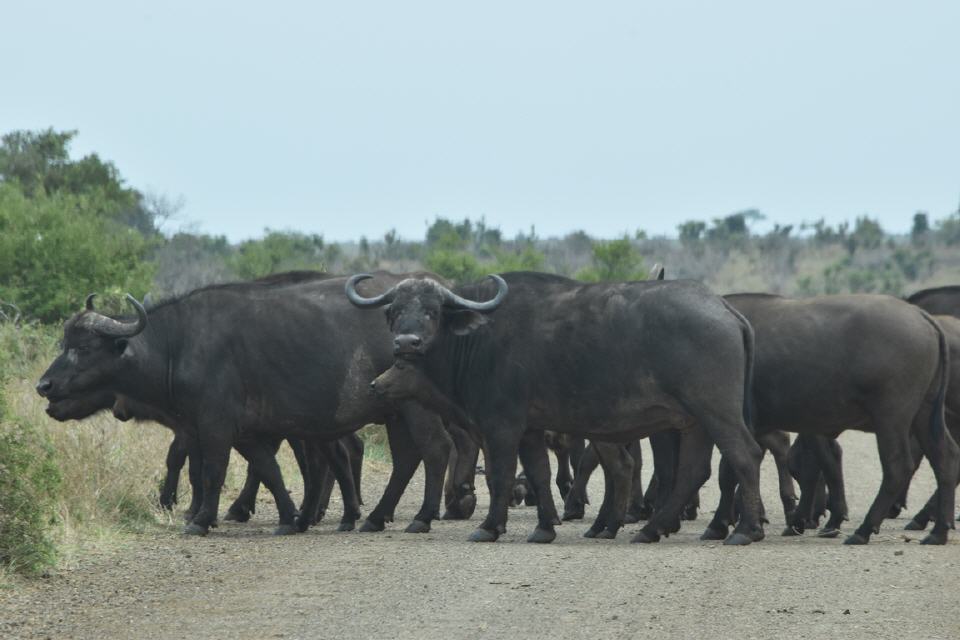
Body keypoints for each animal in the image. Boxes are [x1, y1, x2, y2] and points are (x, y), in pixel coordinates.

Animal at [346, 270, 764, 544]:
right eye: (394, 312)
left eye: (432, 311)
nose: (407, 343)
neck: (480, 338)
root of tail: (724, 308)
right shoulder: (531, 429)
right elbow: (538, 474)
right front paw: (544, 526)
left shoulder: (501, 426)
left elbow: (501, 475)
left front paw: (489, 527)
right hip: (694, 423)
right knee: (693, 470)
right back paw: (650, 529)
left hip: (717, 412)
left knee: (745, 455)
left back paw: (745, 530)